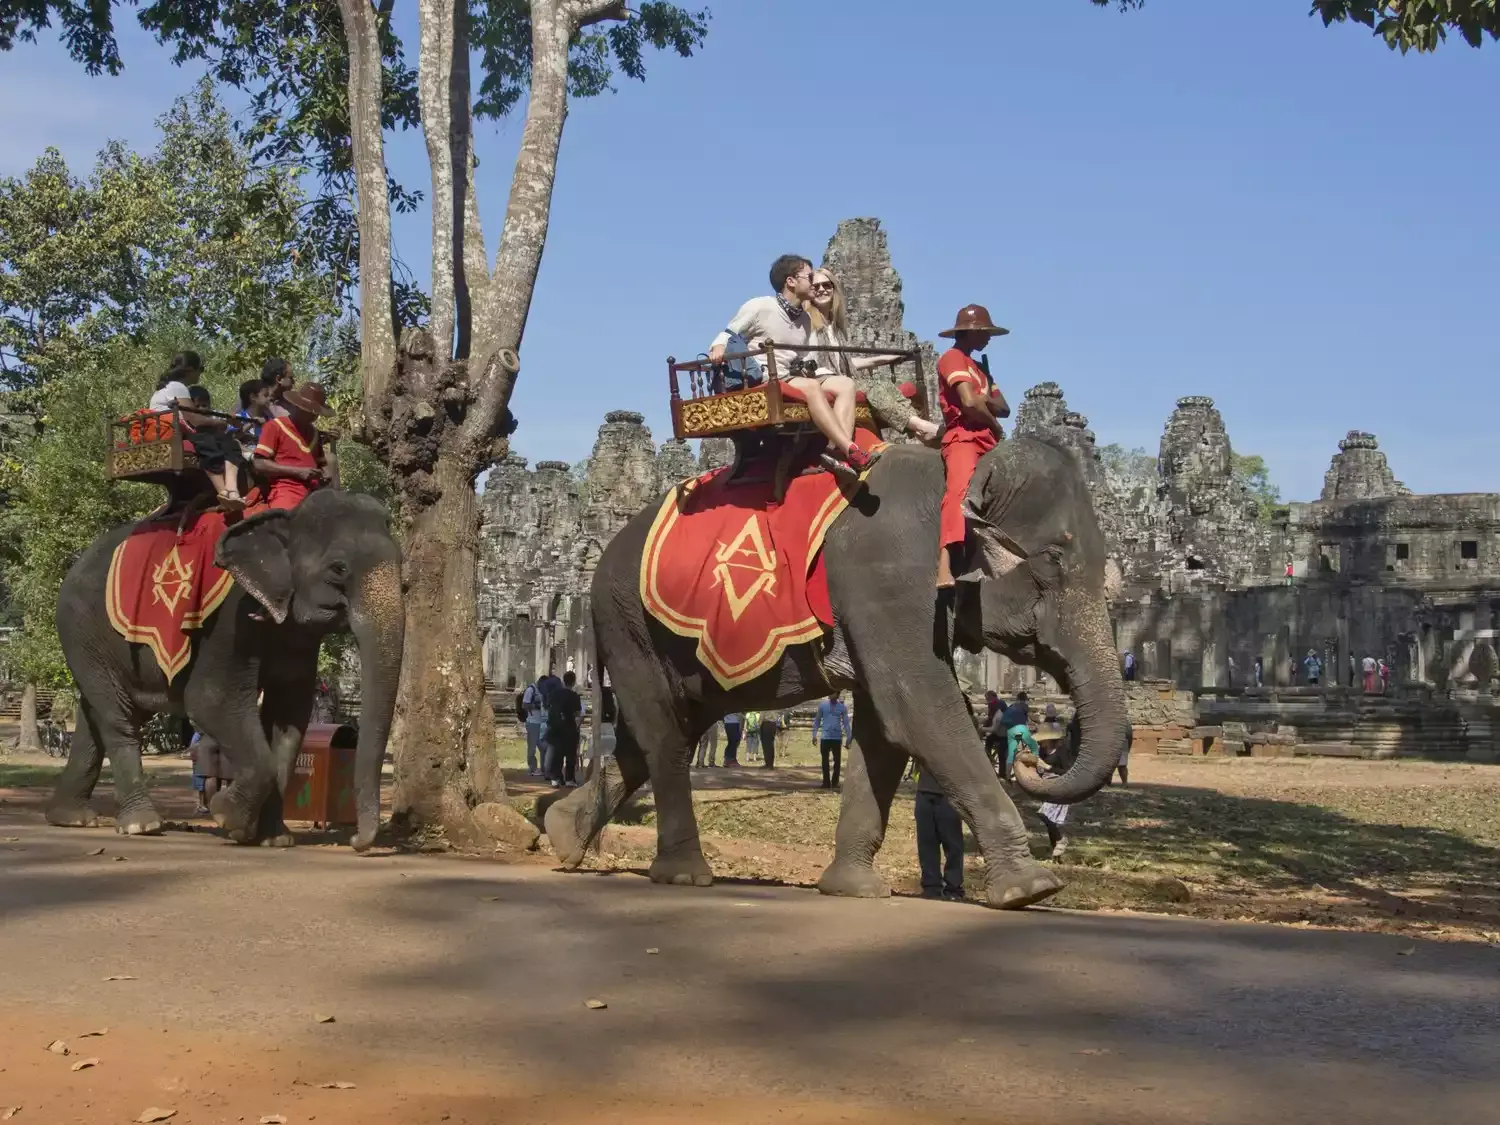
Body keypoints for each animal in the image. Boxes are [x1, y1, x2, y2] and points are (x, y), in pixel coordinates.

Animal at [45, 489, 405, 852]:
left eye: (403, 565)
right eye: (338, 568)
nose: (357, 841)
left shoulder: (296, 638)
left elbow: (289, 717)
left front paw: (274, 838)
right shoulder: (229, 619)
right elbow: (210, 701)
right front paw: (227, 818)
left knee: (95, 712)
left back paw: (72, 818)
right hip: (80, 628)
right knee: (118, 716)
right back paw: (141, 825)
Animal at [546, 435, 1128, 912]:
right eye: (1052, 561)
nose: (1031, 754)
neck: (955, 469)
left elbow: (884, 729)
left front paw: (853, 888)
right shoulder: (886, 575)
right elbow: (918, 708)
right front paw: (1033, 889)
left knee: (660, 731)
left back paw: (563, 835)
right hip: (630, 624)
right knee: (665, 735)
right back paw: (684, 875)